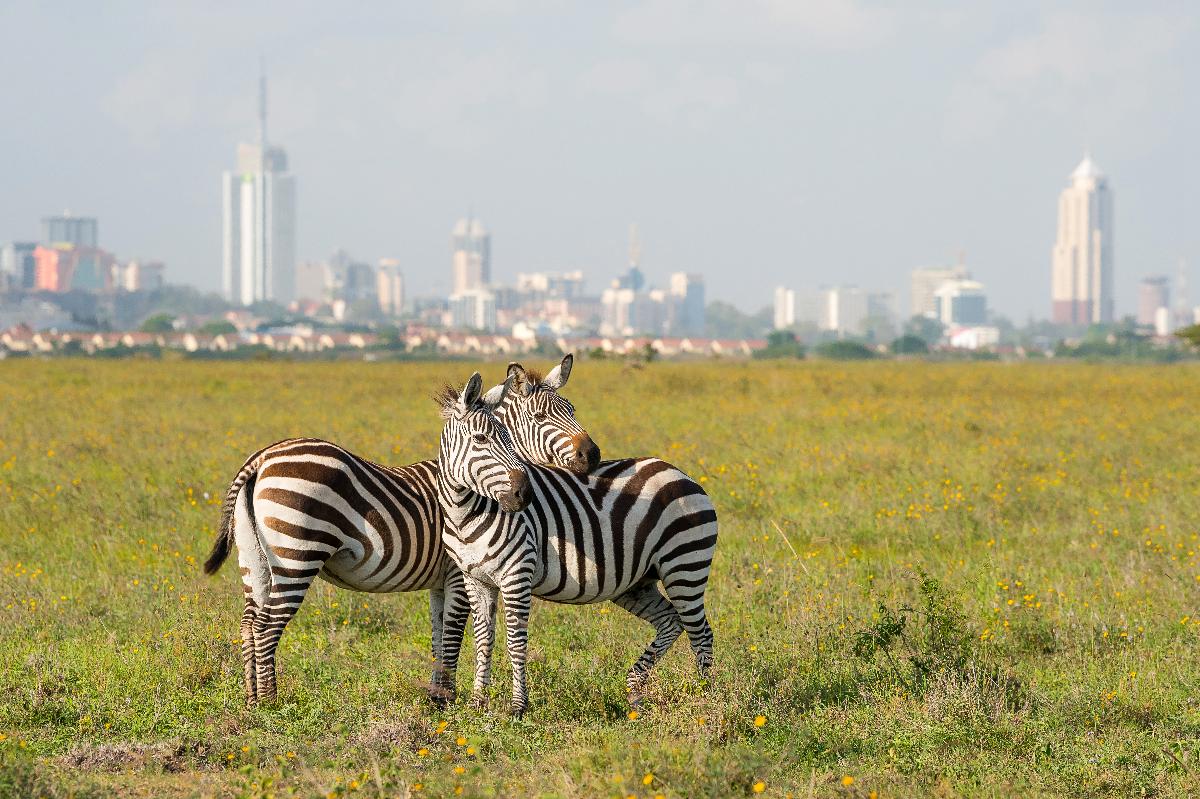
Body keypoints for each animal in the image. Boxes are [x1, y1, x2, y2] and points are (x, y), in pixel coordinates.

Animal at [200, 365, 589, 706]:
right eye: (540, 417)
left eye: (572, 410)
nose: (592, 453)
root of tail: (262, 458)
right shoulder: (458, 574)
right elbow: (452, 636)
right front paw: (447, 699)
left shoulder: (440, 581)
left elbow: (438, 635)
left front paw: (436, 697)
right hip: (297, 555)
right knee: (267, 627)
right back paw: (270, 703)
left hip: (255, 559)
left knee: (249, 623)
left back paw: (251, 699)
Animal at [437, 378, 719, 716]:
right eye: (480, 438)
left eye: (508, 439)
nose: (524, 494)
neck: (465, 514)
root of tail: (680, 472)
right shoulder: (475, 580)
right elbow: (482, 639)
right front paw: (478, 703)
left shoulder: (517, 576)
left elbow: (515, 641)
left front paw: (518, 707)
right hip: (637, 583)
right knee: (671, 621)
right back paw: (635, 690)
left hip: (685, 565)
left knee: (700, 633)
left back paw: (704, 698)